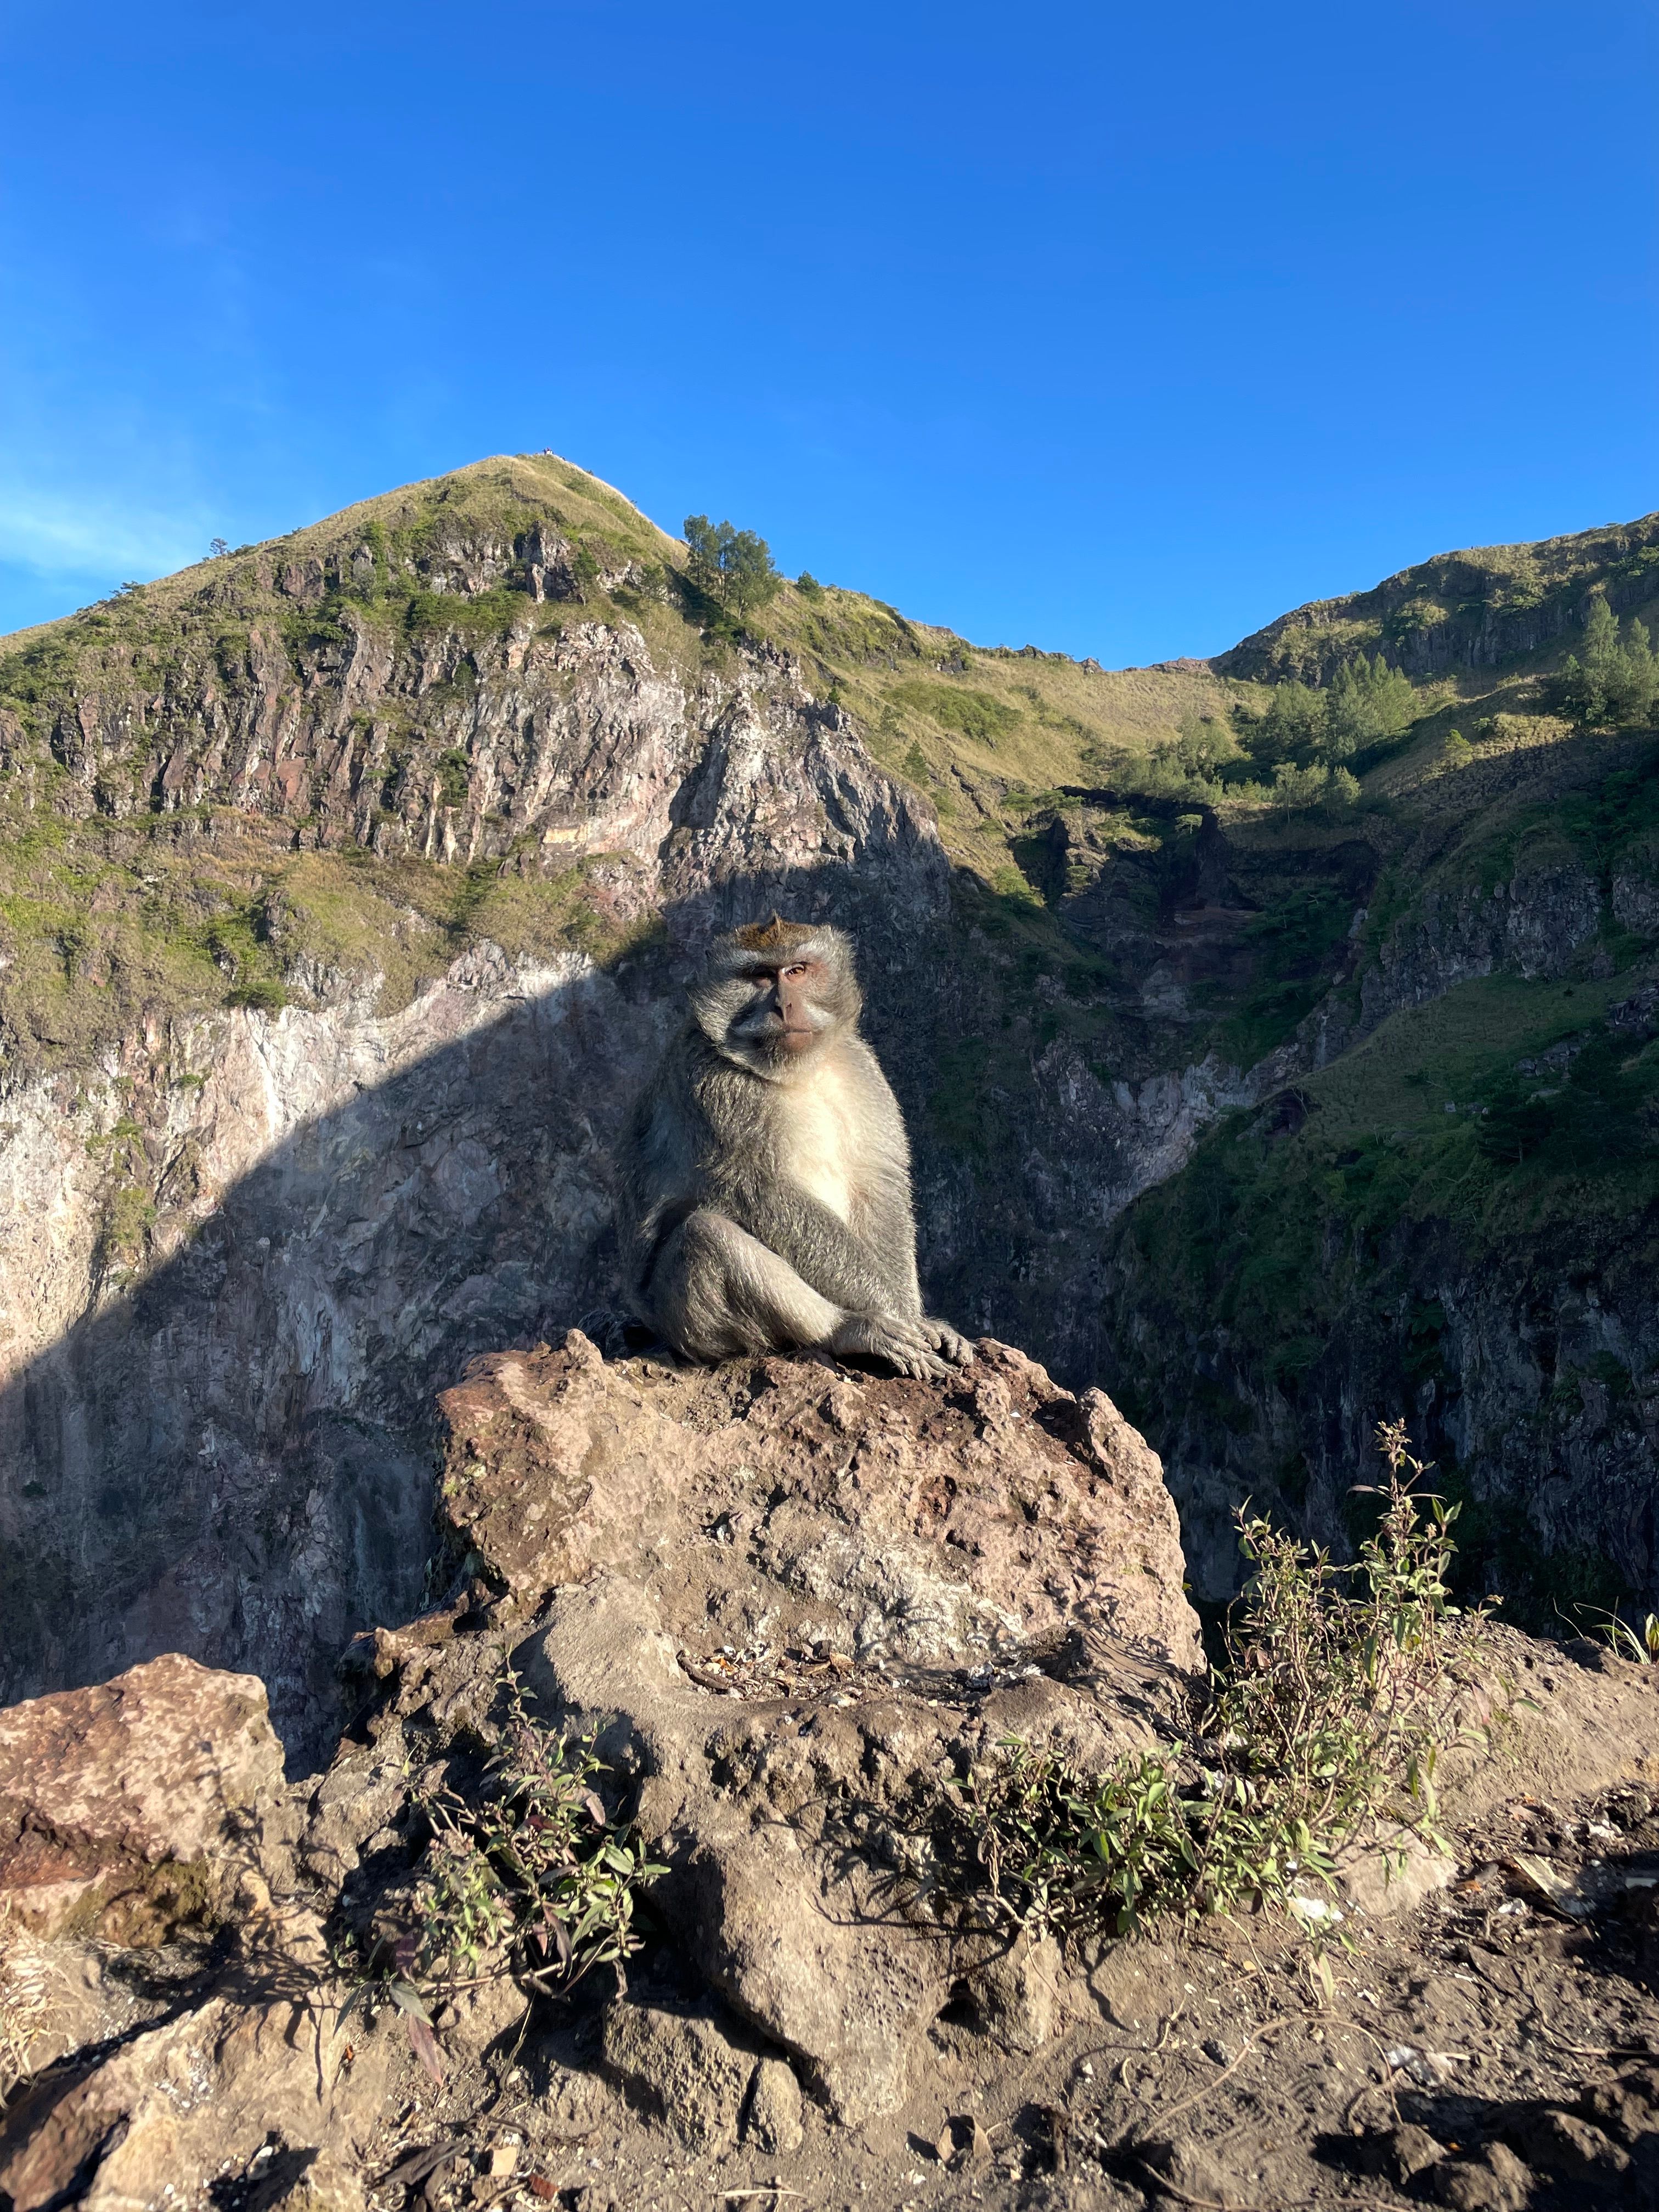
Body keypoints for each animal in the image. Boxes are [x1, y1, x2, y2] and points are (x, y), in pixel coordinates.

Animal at [617, 916, 973, 1379]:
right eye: (761, 976)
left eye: (798, 971)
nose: (783, 1006)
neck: (798, 1071)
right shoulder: (713, 1083)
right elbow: (764, 1192)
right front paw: (899, 1315)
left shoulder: (860, 1065)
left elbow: (879, 1184)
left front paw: (919, 1317)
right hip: (682, 1324)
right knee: (708, 1236)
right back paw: (850, 1331)